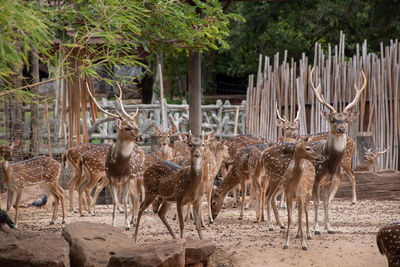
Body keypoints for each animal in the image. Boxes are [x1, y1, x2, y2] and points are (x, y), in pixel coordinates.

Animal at [310, 67, 366, 234]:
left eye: (346, 120)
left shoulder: (329, 181)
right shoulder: (316, 178)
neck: (330, 163)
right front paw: (316, 228)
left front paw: (329, 227)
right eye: (333, 119)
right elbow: (316, 202)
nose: (342, 128)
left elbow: (325, 202)